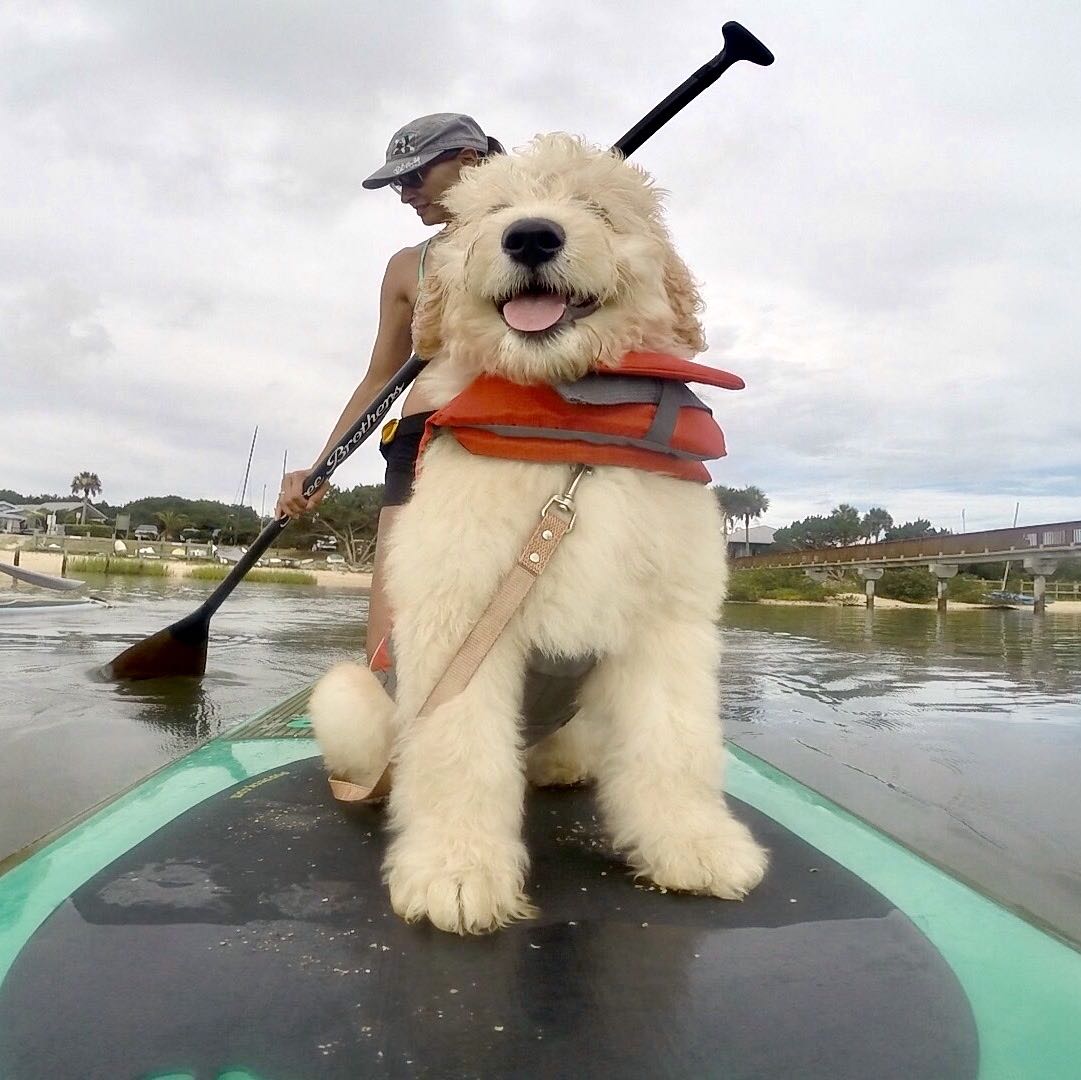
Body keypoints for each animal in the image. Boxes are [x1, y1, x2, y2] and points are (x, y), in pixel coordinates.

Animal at [313, 132, 769, 938]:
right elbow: (458, 754)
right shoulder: (460, 618)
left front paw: (696, 847)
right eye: (494, 208)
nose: (530, 235)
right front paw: (456, 874)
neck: (572, 421)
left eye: (597, 207)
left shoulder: (668, 625)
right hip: (349, 694)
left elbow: (676, 744)